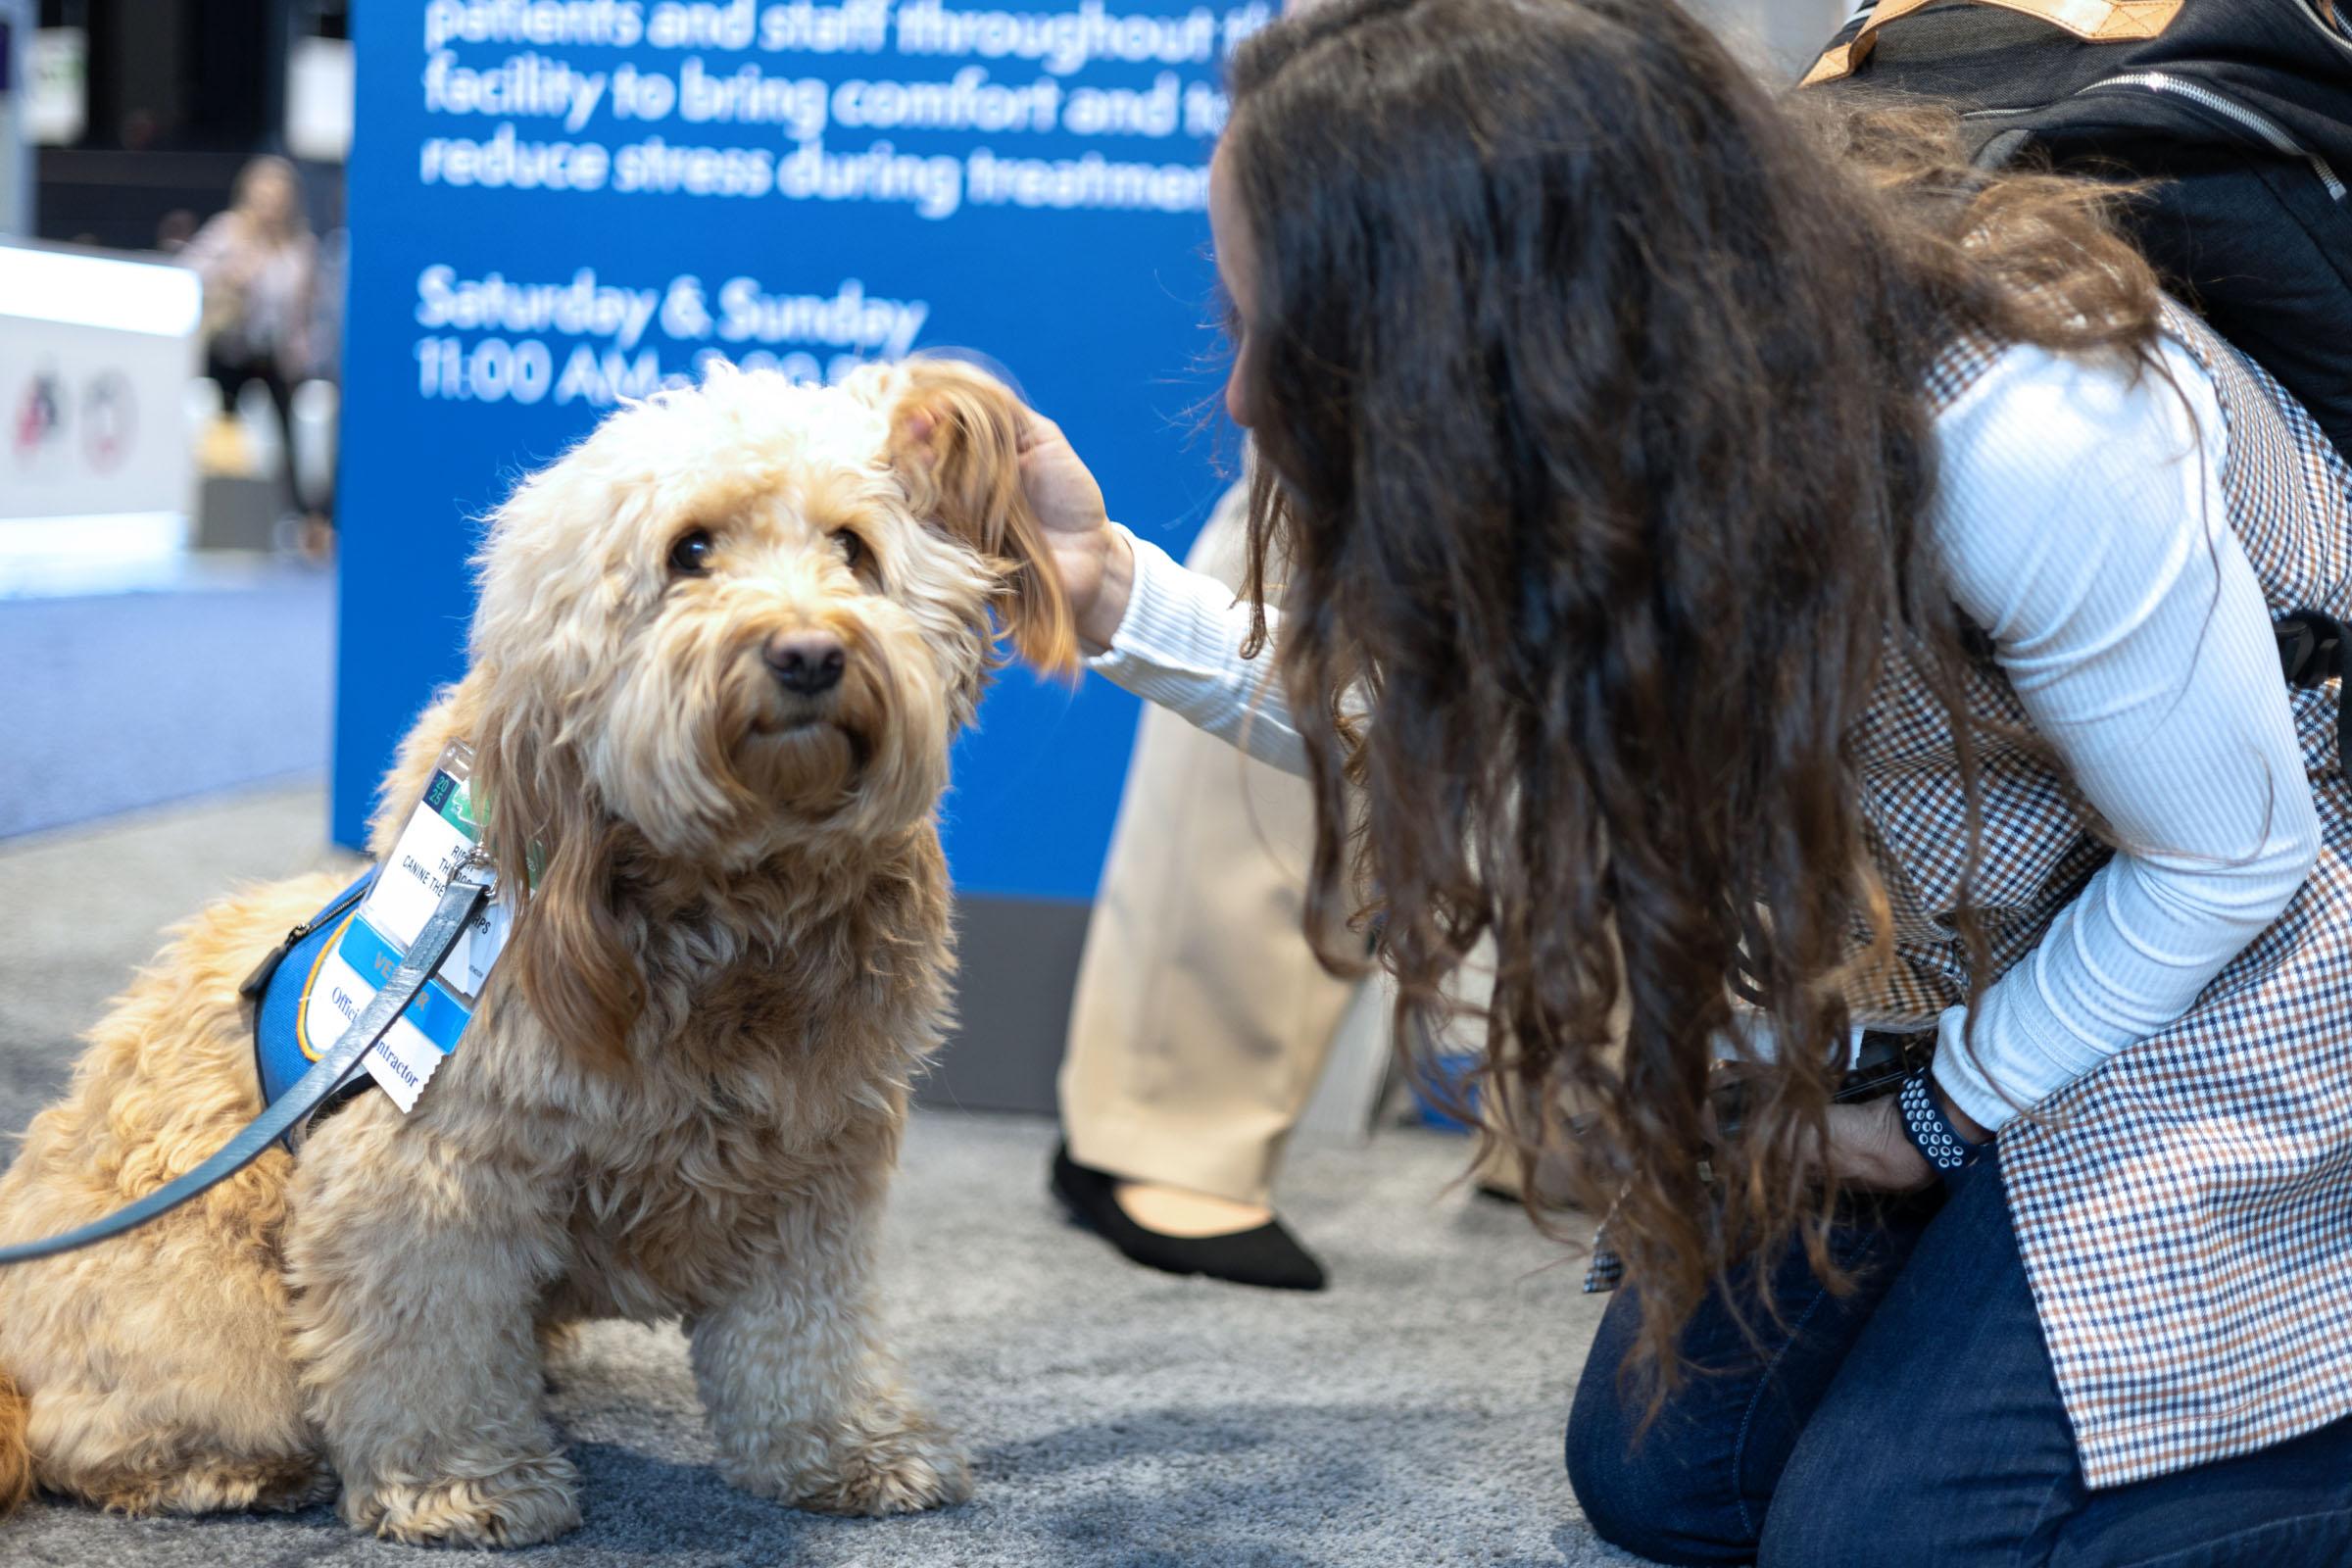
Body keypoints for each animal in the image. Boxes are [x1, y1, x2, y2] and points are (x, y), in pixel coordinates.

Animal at [0, 357, 1074, 1545]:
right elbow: (431, 1344)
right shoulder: (427, 1174)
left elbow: (807, 1335)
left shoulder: (813, 1170)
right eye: (689, 549)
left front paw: (848, 1449)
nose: (808, 652)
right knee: (100, 1427)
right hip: (205, 1321)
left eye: (853, 547)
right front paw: (466, 1481)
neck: (732, 912)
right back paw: (221, 1468)